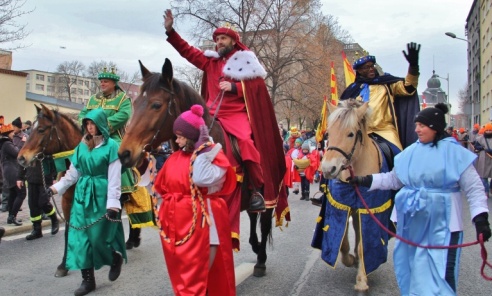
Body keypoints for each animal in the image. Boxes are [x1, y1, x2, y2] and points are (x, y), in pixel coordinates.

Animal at [17, 104, 80, 278]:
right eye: (31, 128)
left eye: (41, 130)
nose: (21, 158)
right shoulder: (67, 202)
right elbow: (68, 231)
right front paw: (63, 265)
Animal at [117, 59, 274, 276]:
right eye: (135, 103)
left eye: (156, 105)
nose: (124, 153)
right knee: (252, 218)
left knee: (264, 222)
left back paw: (261, 261)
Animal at [314, 99, 394, 292]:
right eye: (328, 133)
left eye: (350, 134)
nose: (327, 169)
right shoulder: (343, 206)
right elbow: (343, 242)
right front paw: (350, 260)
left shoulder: (370, 210)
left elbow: (363, 245)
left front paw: (361, 280)